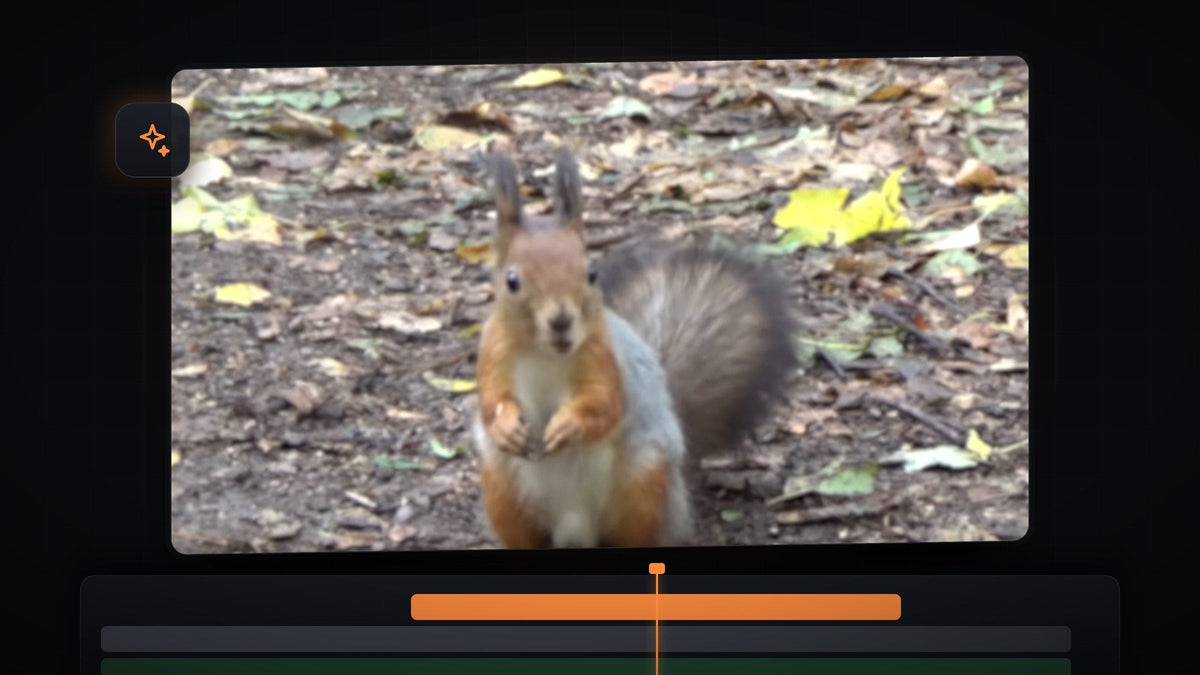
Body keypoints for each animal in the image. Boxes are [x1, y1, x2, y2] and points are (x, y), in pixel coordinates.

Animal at [472, 148, 798, 548]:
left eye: (591, 274)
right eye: (512, 280)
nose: (562, 320)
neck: (545, 354)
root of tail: (575, 533)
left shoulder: (604, 359)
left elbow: (604, 405)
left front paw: (567, 426)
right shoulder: (492, 355)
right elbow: (490, 401)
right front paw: (505, 427)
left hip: (642, 485)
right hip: (502, 491)